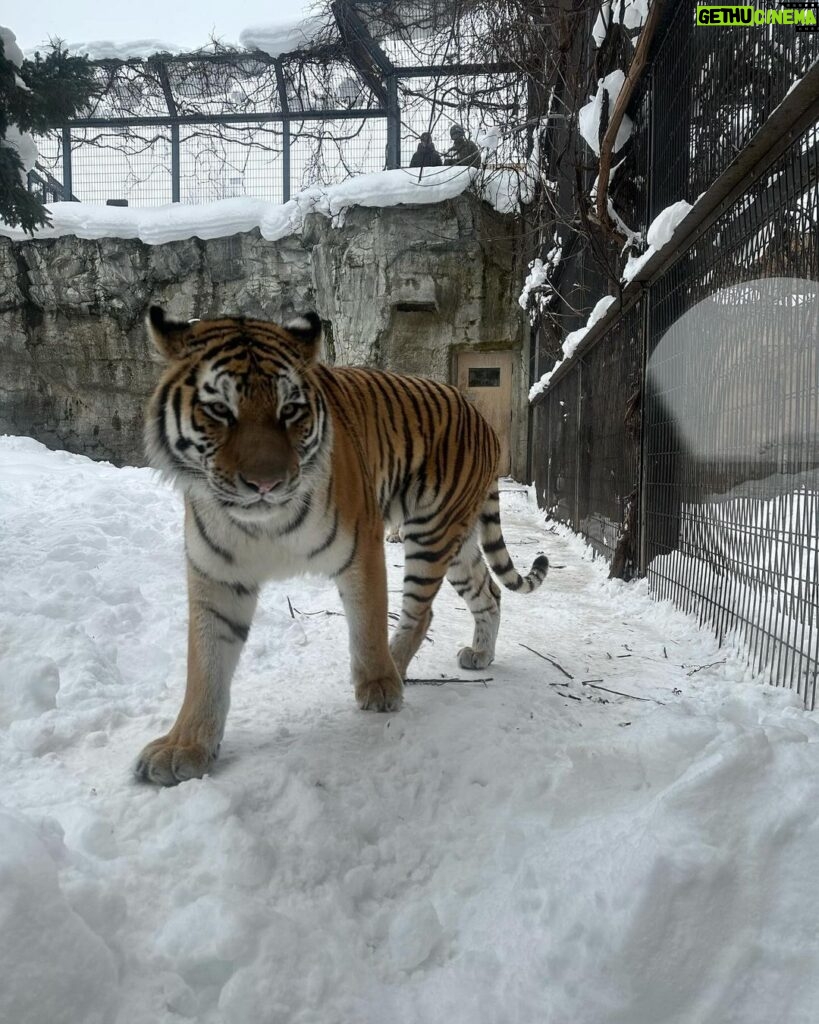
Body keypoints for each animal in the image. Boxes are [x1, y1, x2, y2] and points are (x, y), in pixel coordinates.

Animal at [137, 303, 548, 782]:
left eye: (290, 410)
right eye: (220, 409)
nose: (266, 483)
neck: (263, 525)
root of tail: (482, 417)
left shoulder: (362, 543)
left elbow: (368, 621)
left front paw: (379, 688)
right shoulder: (218, 574)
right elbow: (205, 664)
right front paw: (185, 746)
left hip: (431, 530)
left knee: (421, 612)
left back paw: (397, 669)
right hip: (458, 543)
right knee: (491, 593)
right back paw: (480, 654)